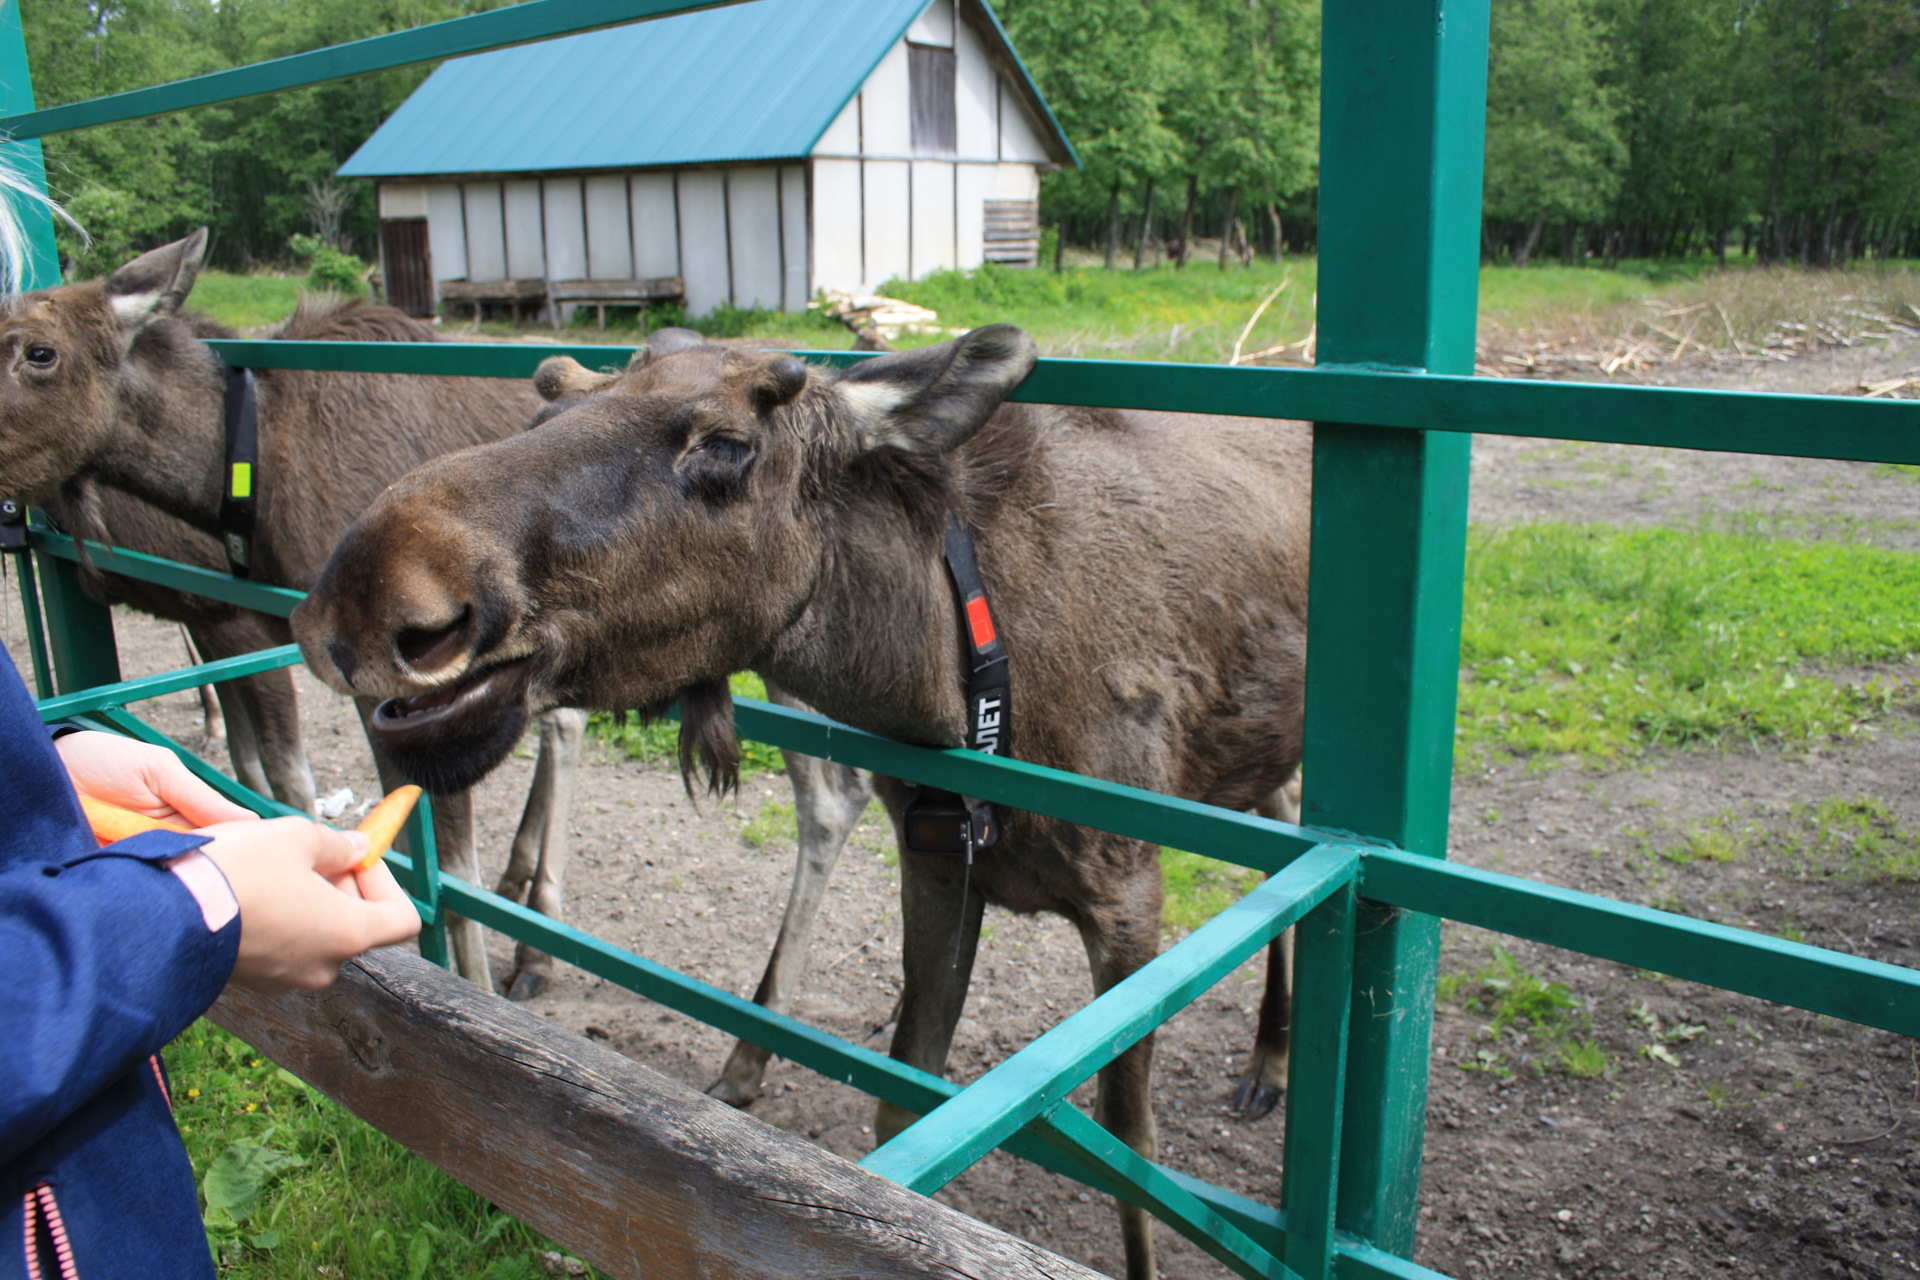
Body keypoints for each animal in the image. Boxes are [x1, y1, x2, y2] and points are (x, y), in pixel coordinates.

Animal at [295, 326, 1320, 1274]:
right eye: (549, 398)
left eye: (724, 446)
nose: (367, 595)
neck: (954, 683)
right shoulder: (937, 867)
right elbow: (901, 1103)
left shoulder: (1128, 899)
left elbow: (1134, 1167)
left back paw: (1273, 1060)